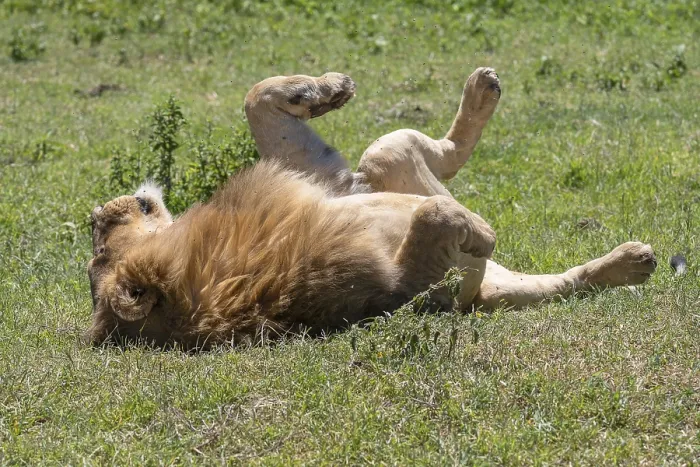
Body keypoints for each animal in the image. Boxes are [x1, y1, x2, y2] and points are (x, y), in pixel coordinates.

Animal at [86, 67, 657, 348]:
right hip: (478, 280)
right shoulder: (400, 291)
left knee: (424, 154)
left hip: (357, 172)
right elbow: (435, 218)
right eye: (101, 258)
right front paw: (479, 229)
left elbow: (255, 95)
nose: (96, 213)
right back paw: (631, 262)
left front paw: (326, 89)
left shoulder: (311, 183)